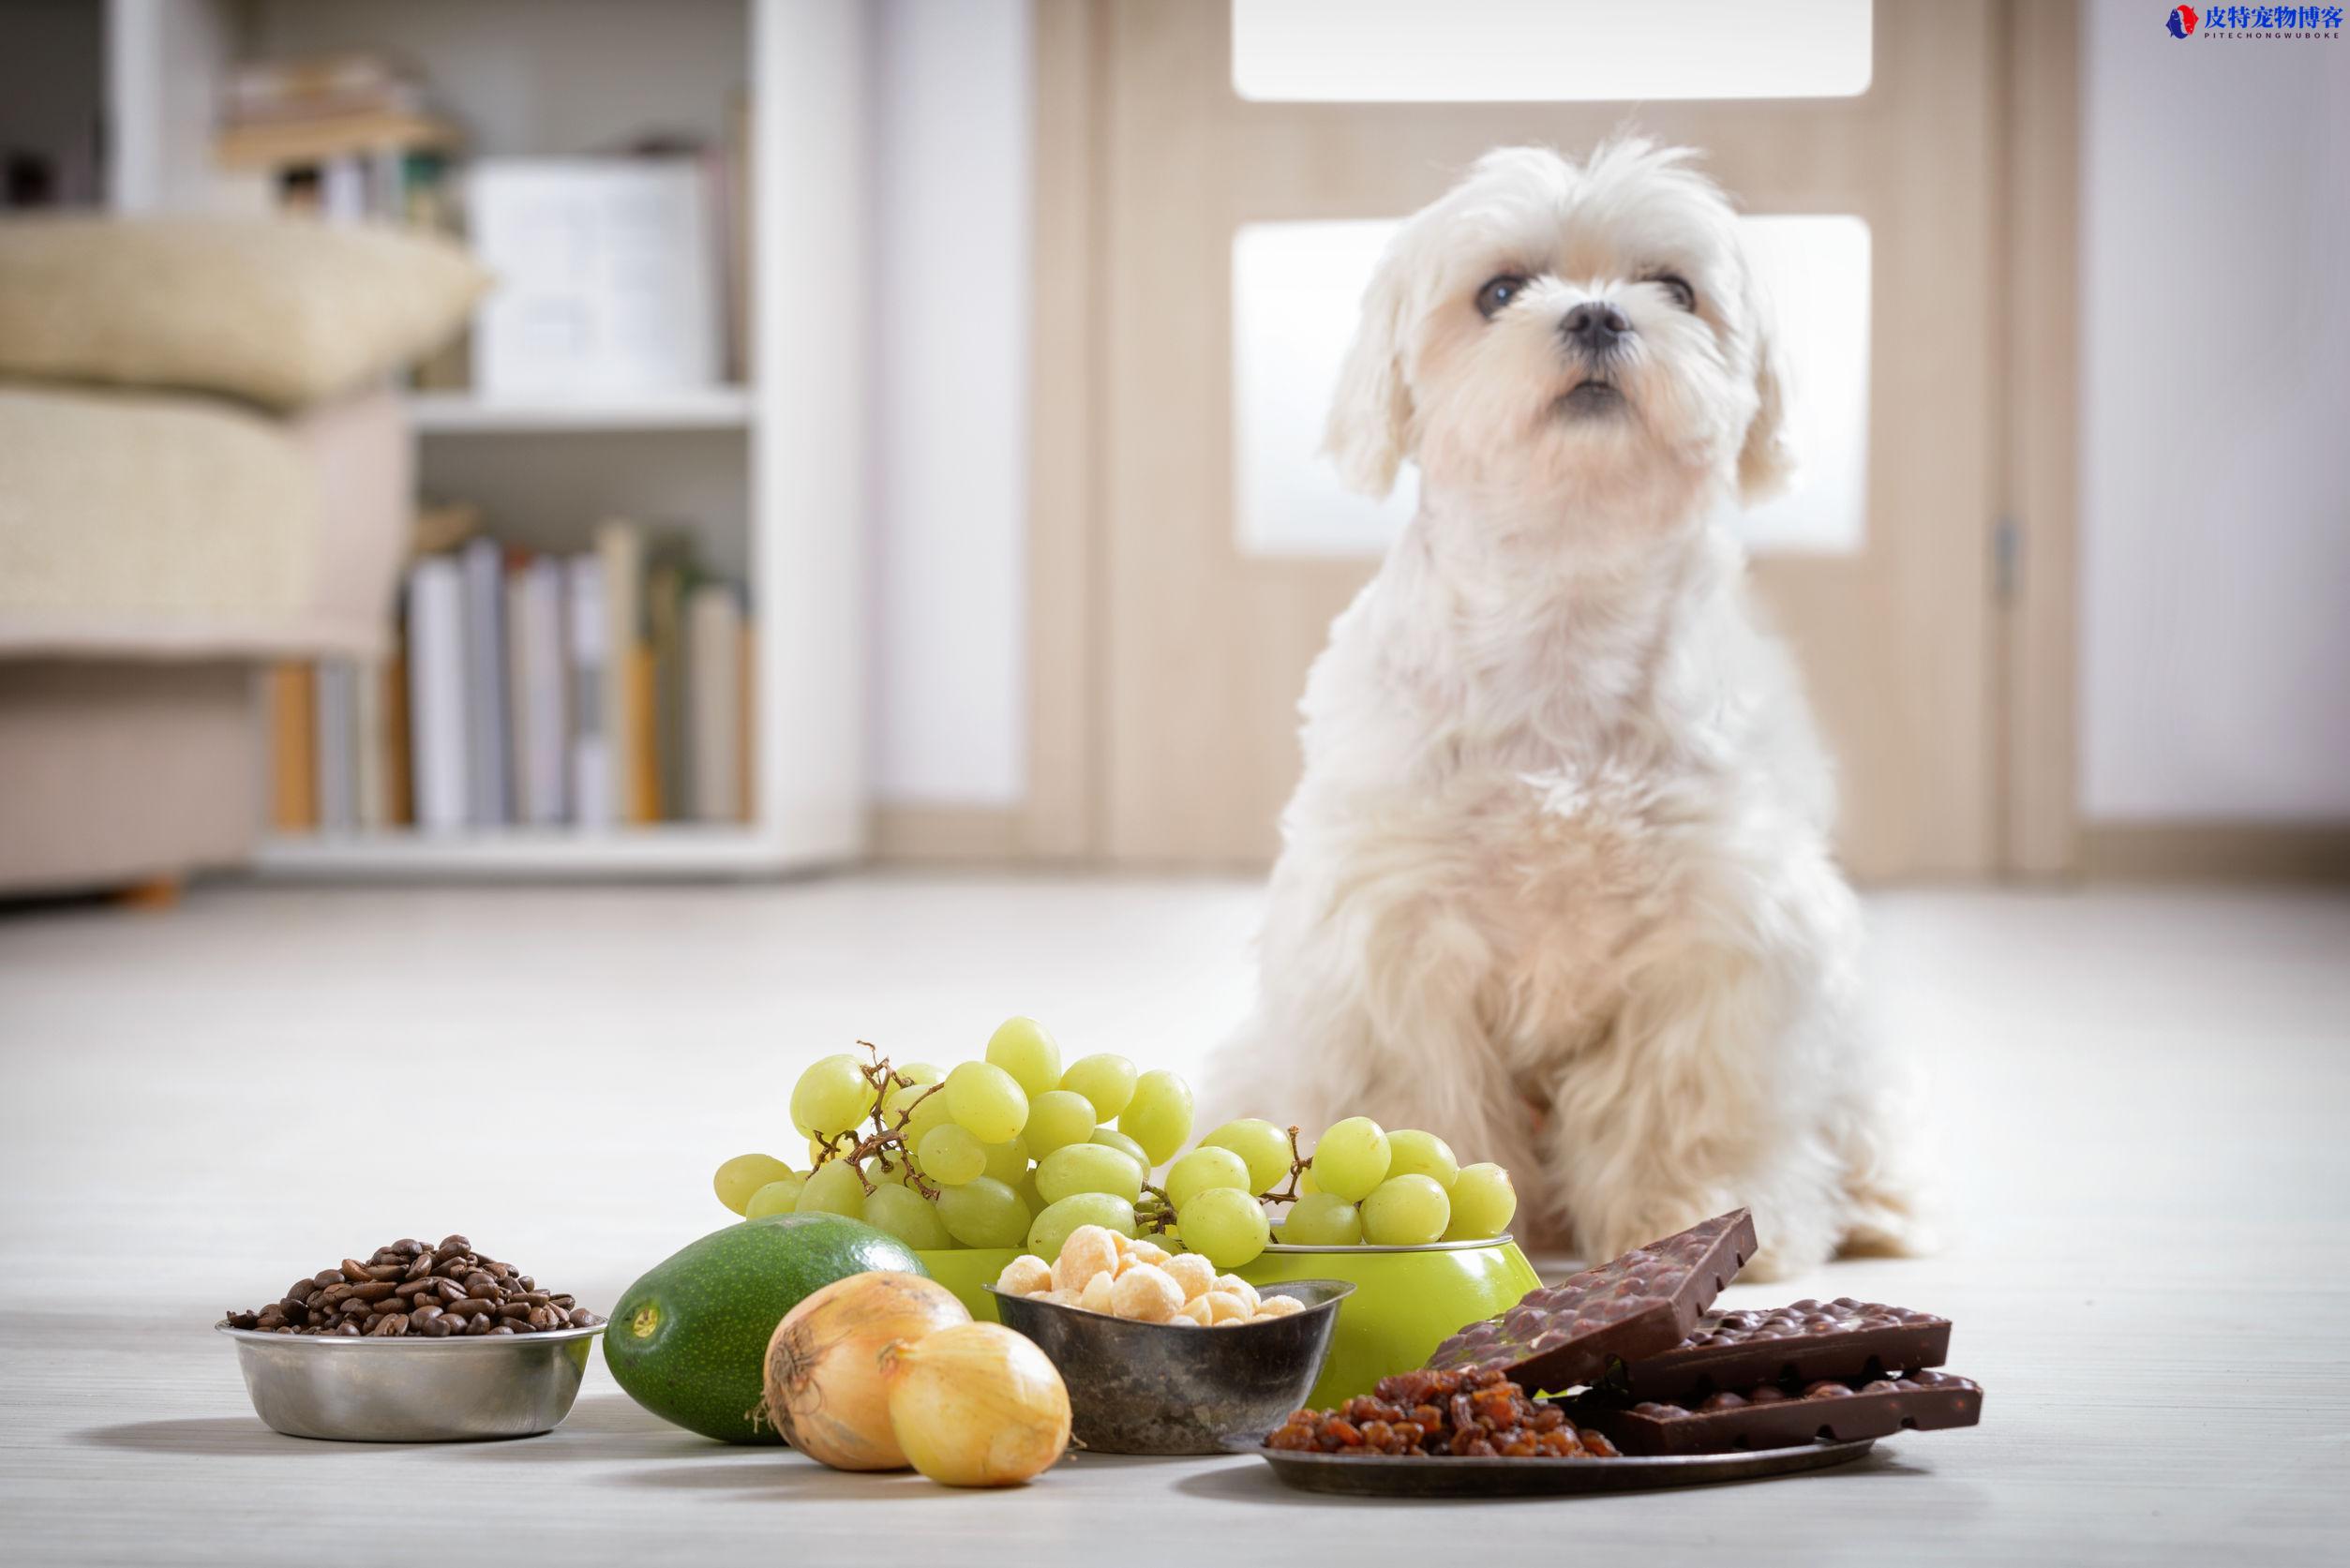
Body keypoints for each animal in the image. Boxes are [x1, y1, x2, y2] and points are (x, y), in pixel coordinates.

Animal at [1212, 141, 1926, 1278]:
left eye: (1673, 287)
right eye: (1499, 290)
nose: (1595, 313)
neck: (1563, 607)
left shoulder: (1716, 928)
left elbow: (1685, 1105)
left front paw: (1700, 1211)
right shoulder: (1394, 930)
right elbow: (1416, 1094)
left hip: (1848, 1043)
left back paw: (1878, 1206)